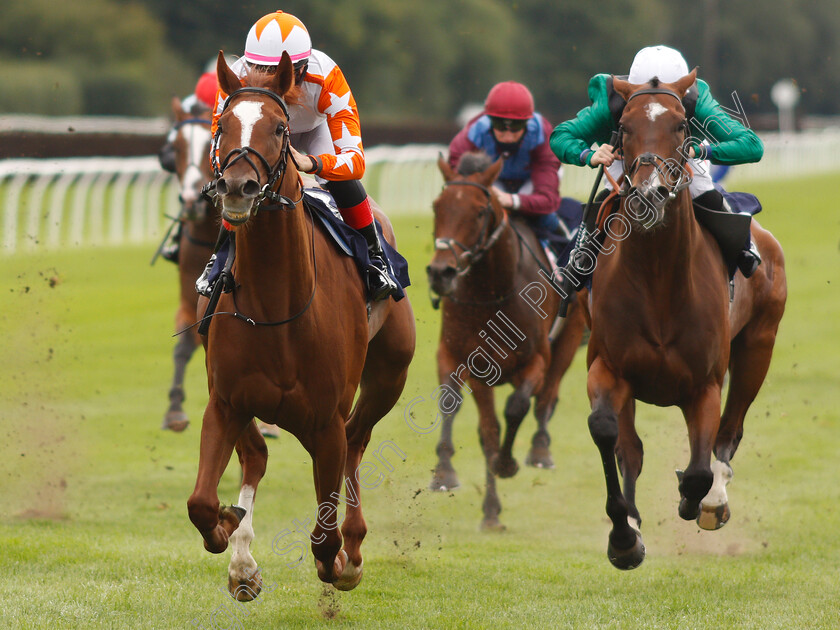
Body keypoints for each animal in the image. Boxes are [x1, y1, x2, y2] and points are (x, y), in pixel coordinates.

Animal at [187, 50, 416, 596]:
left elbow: (323, 537)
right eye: (223, 123)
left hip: (389, 375)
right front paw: (230, 534)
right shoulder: (225, 402)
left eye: (278, 127)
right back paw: (242, 559)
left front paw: (343, 561)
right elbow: (202, 502)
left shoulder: (325, 422)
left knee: (357, 441)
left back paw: (353, 546)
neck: (277, 309)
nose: (238, 187)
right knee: (257, 457)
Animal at [426, 154, 584, 532]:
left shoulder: (535, 360)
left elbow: (517, 407)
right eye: (437, 206)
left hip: (569, 339)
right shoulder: (462, 359)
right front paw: (448, 477)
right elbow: (474, 421)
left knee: (546, 398)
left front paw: (507, 463)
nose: (440, 272)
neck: (491, 294)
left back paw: (540, 451)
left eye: (480, 211)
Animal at [584, 70, 788, 572]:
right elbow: (609, 434)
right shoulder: (608, 367)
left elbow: (697, 468)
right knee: (630, 447)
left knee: (729, 433)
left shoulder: (704, 383)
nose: (649, 193)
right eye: (624, 128)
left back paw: (714, 499)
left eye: (681, 125)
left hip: (759, 346)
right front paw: (624, 534)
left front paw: (696, 499)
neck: (659, 279)